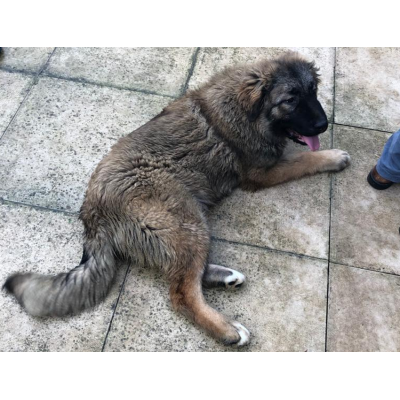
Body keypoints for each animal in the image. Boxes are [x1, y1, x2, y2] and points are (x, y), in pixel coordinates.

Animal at [3, 51, 350, 346]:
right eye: (290, 99)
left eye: (313, 91)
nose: (323, 125)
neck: (247, 111)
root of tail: (93, 211)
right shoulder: (261, 172)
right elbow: (303, 160)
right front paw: (333, 156)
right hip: (185, 219)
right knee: (182, 294)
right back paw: (227, 330)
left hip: (185, 224)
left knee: (183, 272)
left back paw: (224, 278)